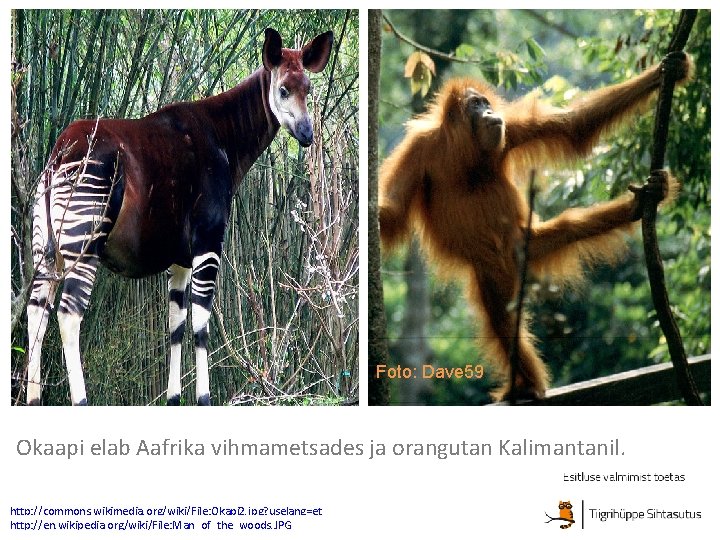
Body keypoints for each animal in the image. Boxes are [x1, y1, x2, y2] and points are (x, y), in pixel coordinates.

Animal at [378, 51, 691, 401]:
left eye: (486, 103)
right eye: (475, 105)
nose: (489, 111)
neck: (465, 155)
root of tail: (516, 258)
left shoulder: (509, 130)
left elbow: (574, 126)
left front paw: (667, 70)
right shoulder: (419, 149)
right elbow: (392, 210)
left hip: (527, 243)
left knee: (570, 228)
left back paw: (640, 203)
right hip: (493, 269)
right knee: (501, 316)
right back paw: (527, 384)